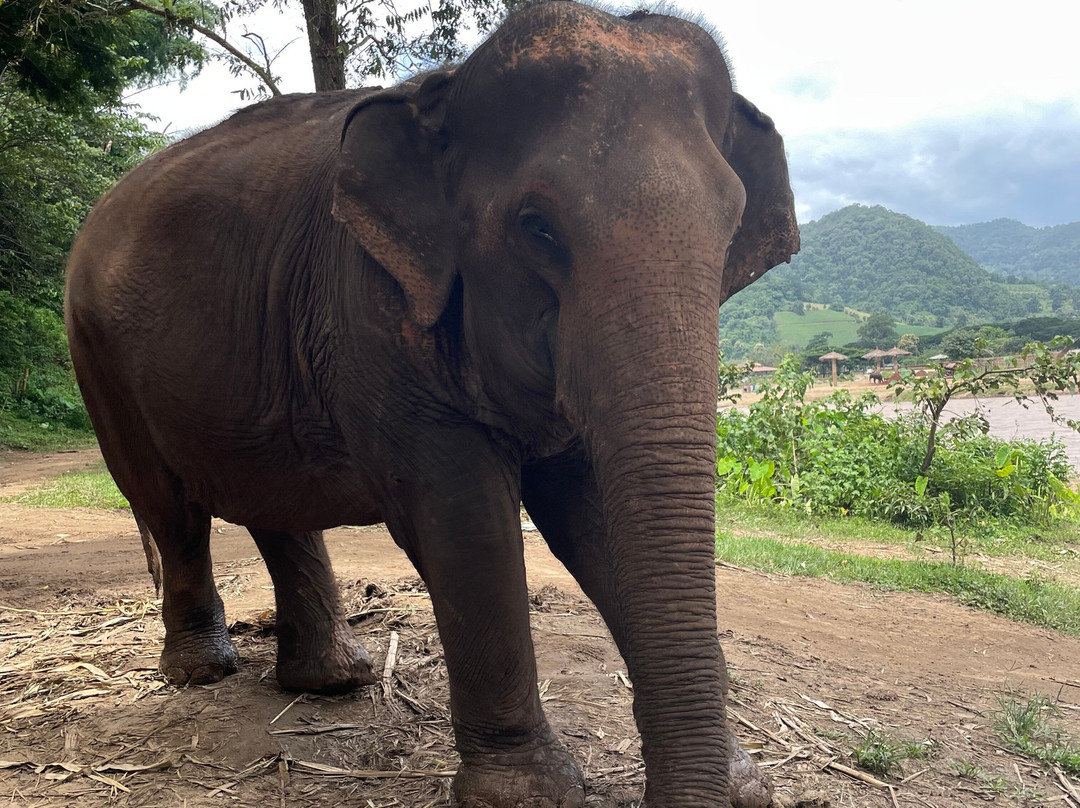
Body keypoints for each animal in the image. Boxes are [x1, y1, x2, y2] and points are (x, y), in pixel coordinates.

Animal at [65, 2, 799, 806]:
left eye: (730, 227)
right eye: (537, 227)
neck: (442, 91)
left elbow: (593, 512)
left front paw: (740, 784)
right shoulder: (367, 302)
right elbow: (463, 515)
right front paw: (527, 794)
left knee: (269, 498)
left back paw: (333, 681)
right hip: (95, 352)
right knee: (167, 504)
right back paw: (203, 670)